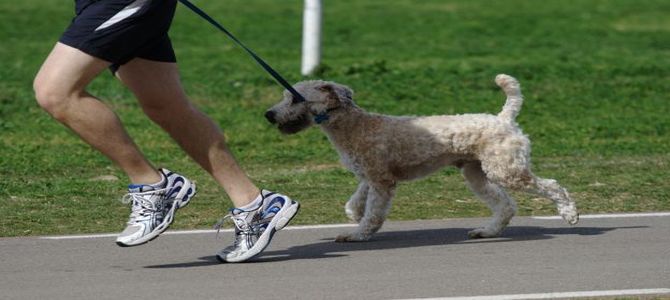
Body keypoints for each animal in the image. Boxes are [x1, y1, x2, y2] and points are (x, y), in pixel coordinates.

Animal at [266, 74, 580, 241]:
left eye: (294, 98)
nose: (269, 114)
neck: (354, 126)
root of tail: (504, 118)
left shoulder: (382, 181)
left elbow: (373, 213)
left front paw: (358, 234)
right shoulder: (372, 176)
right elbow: (356, 199)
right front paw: (354, 213)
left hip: (506, 170)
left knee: (553, 186)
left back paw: (570, 215)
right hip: (476, 174)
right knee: (505, 206)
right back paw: (486, 231)